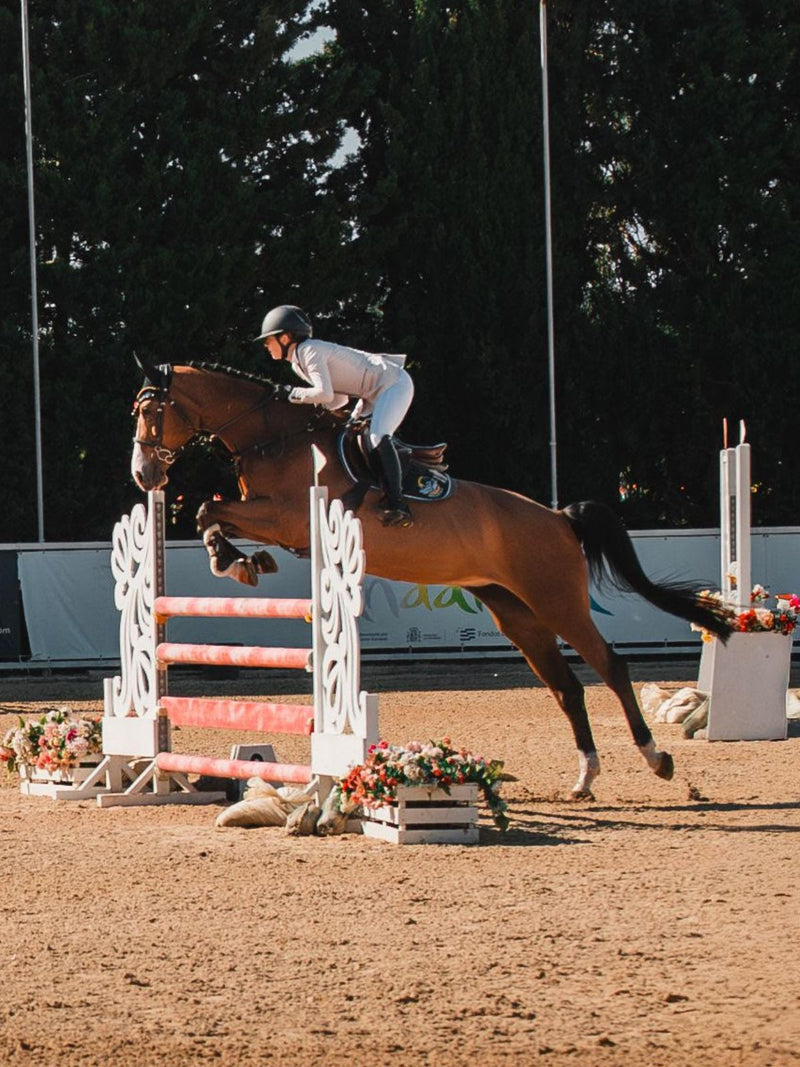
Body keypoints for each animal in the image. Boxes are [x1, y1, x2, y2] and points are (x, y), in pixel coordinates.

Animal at [130, 359, 732, 799]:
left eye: (150, 412)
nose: (144, 475)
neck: (274, 436)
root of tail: (559, 518)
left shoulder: (287, 517)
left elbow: (210, 507)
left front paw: (236, 560)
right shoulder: (269, 517)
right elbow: (211, 513)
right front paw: (238, 561)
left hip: (557, 601)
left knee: (610, 666)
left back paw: (657, 759)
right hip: (515, 612)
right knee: (565, 686)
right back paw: (584, 778)